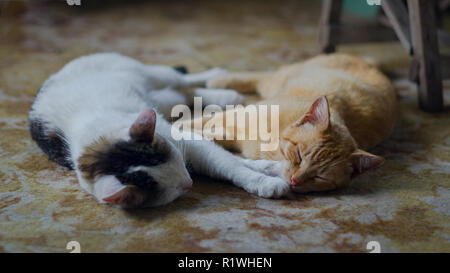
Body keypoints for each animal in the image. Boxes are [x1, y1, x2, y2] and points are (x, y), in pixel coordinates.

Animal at [29, 52, 288, 206]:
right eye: (165, 188)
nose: (189, 183)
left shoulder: (186, 140)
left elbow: (230, 164)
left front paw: (266, 176)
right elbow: (231, 162)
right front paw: (269, 171)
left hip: (150, 74)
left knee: (180, 79)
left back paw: (217, 77)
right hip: (158, 99)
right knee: (180, 94)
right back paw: (222, 96)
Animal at [185, 54, 396, 192]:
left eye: (319, 177)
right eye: (300, 155)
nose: (295, 181)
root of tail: (369, 64)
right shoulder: (236, 116)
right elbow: (194, 124)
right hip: (278, 79)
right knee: (261, 75)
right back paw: (220, 79)